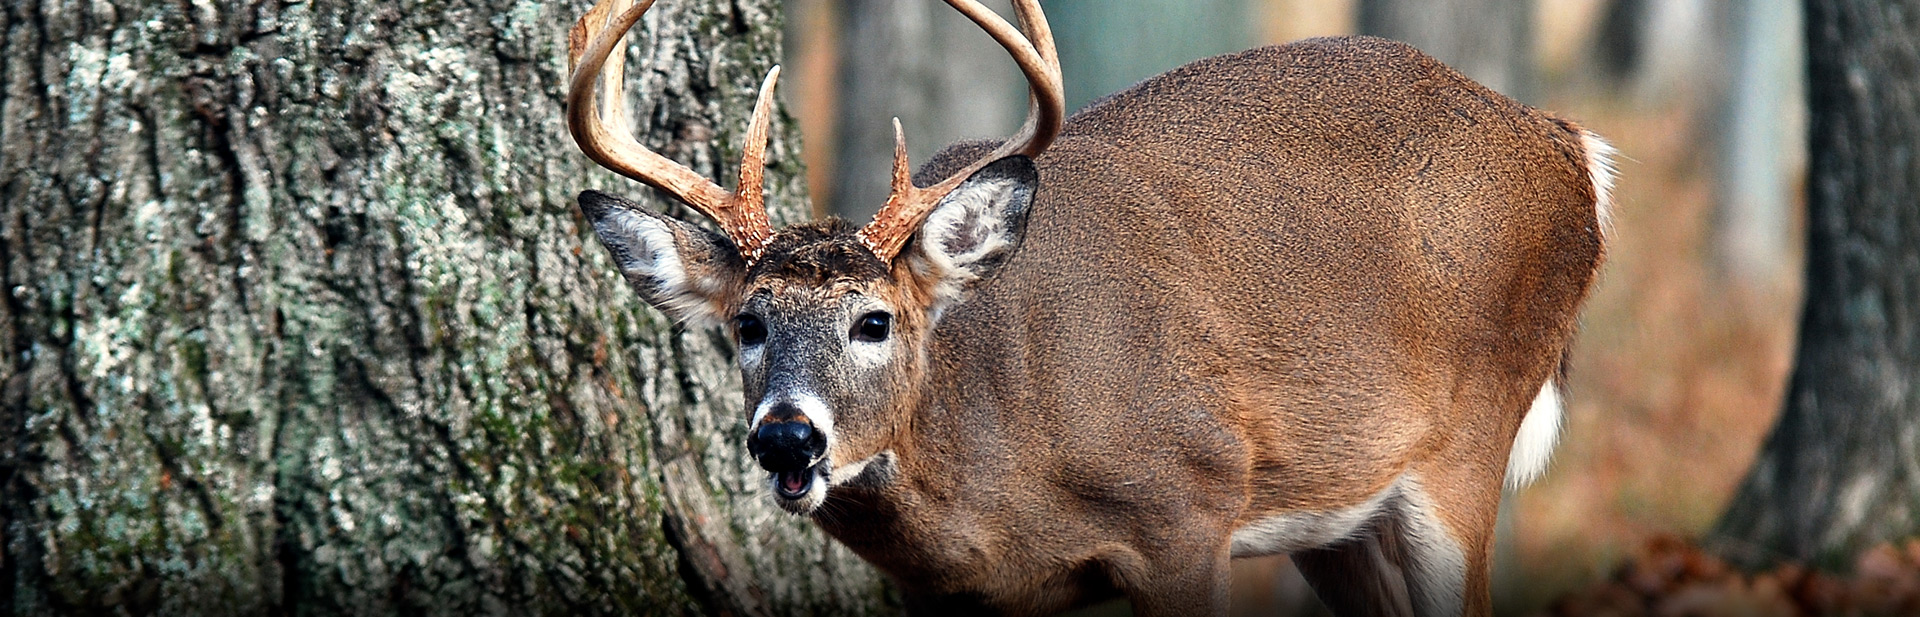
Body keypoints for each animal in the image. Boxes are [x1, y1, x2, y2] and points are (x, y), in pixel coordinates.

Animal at [560, 0, 1612, 611]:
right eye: (747, 323)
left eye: (874, 320)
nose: (787, 435)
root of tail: (1570, 146)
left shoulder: (1192, 504)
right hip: (1342, 514)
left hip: (1464, 444)